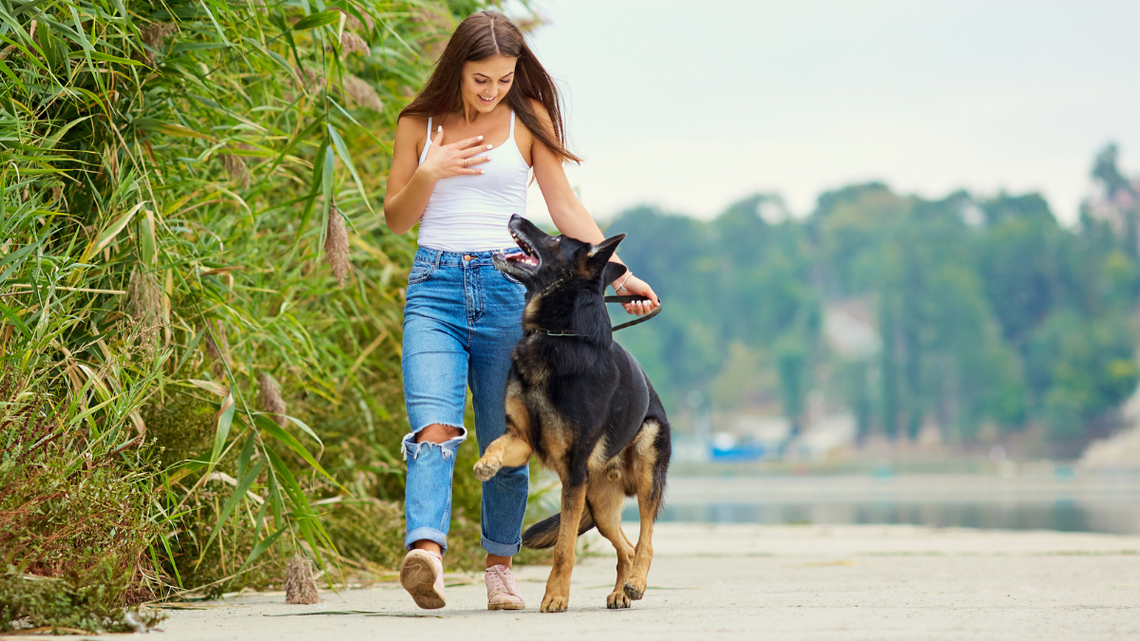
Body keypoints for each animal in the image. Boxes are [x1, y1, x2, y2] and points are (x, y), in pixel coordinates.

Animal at [469, 213, 665, 606]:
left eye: (557, 239)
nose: (514, 215)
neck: (557, 336)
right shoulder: (521, 439)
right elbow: (497, 443)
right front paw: (487, 464)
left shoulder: (573, 473)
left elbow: (563, 549)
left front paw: (556, 597)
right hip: (600, 505)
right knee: (625, 548)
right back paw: (619, 591)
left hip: (645, 466)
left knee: (645, 541)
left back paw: (635, 583)